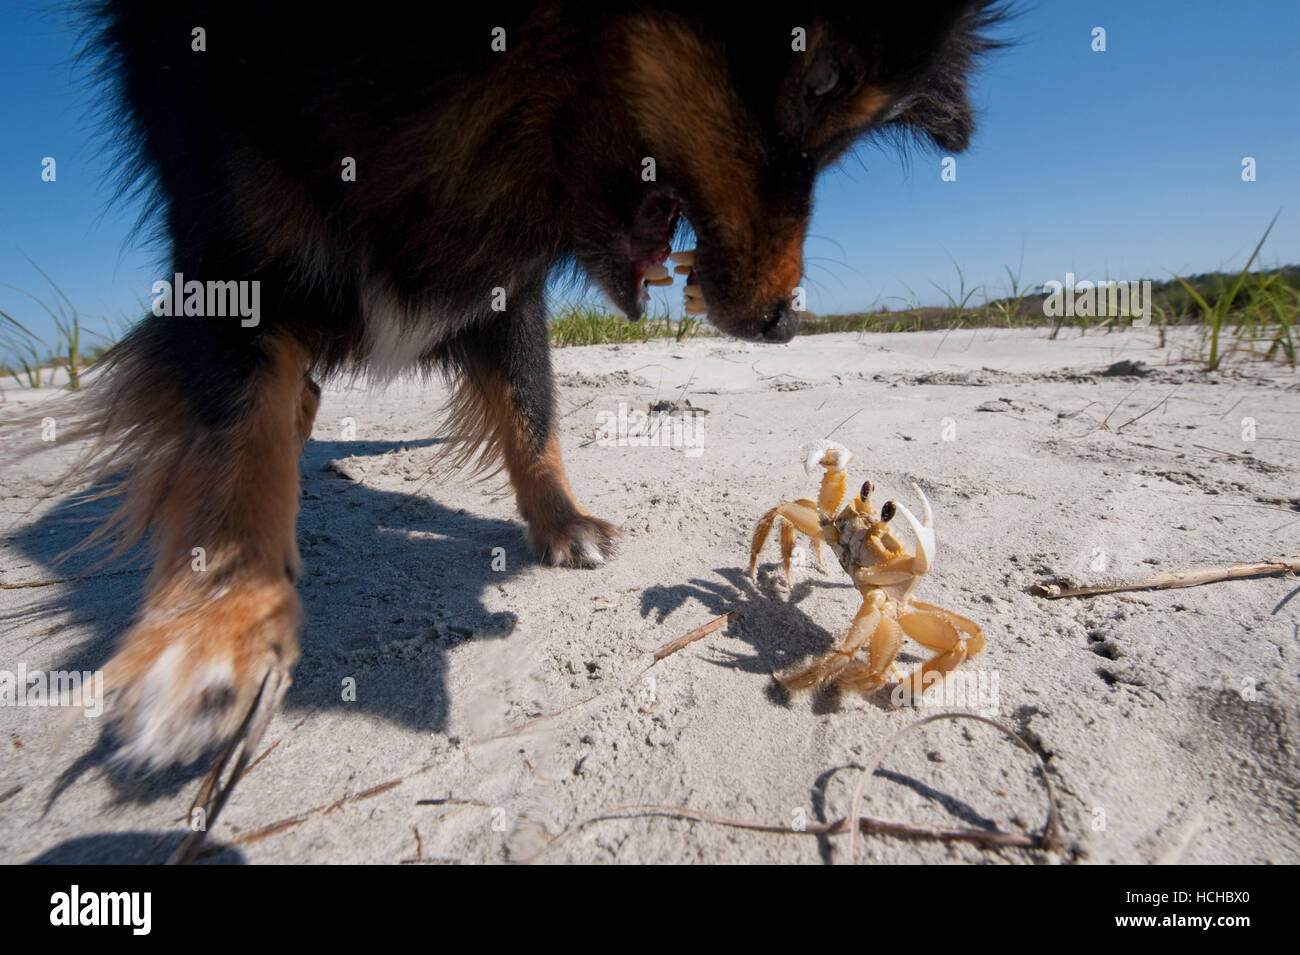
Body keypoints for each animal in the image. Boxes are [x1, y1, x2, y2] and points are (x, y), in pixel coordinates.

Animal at [76, 0, 998, 774]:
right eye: (822, 78)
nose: (784, 325)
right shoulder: (227, 245)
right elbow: (235, 449)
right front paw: (214, 626)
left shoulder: (507, 287)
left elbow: (532, 408)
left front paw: (563, 521)